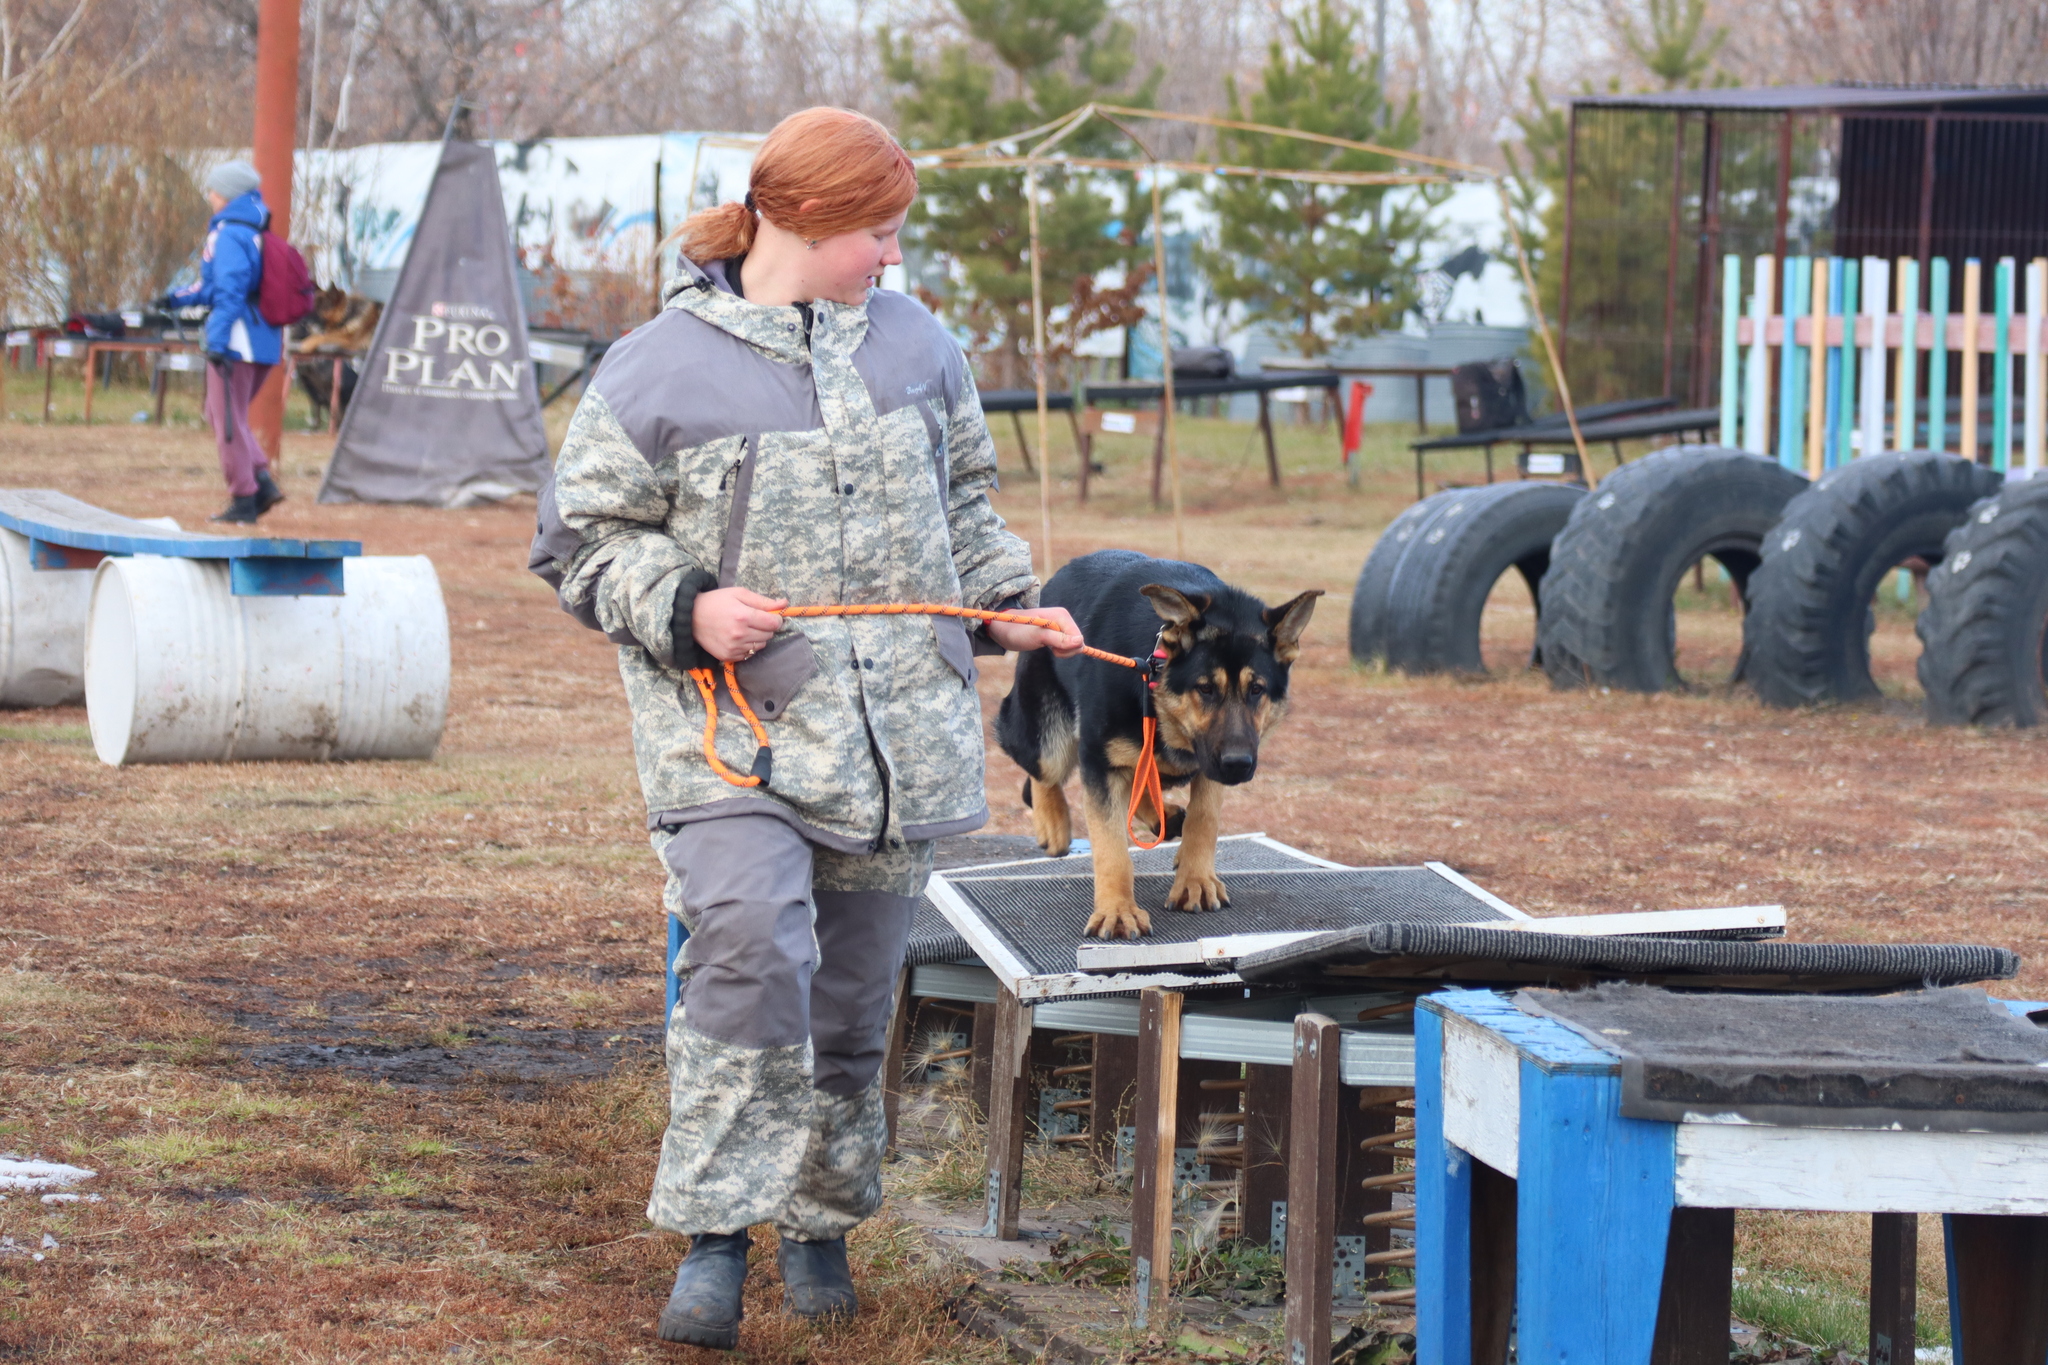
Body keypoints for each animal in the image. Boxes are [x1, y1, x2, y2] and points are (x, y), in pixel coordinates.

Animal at [995, 548, 1318, 945]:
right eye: (1205, 688)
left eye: (1256, 689)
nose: (1238, 765)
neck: (1155, 679)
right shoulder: (1099, 762)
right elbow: (1111, 846)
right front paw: (1117, 910)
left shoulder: (1209, 764)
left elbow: (1204, 818)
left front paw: (1196, 881)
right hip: (1046, 739)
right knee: (1040, 765)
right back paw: (1052, 821)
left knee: (1146, 774)